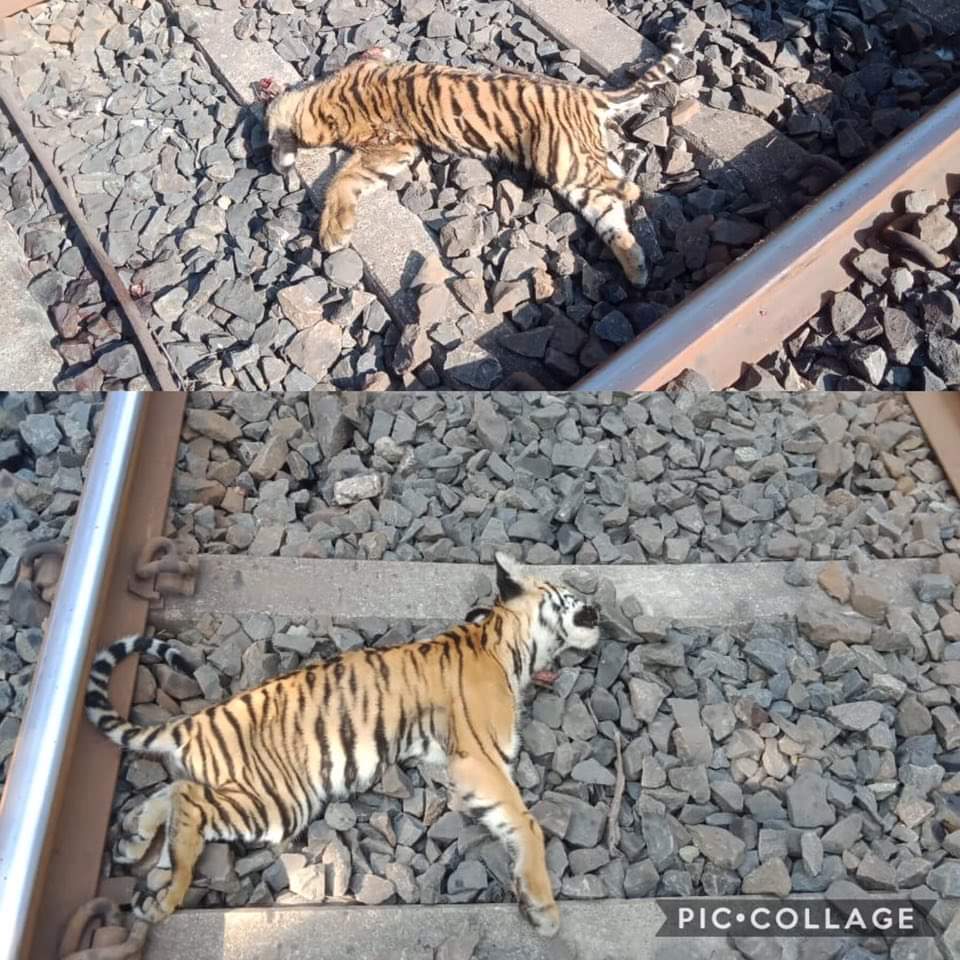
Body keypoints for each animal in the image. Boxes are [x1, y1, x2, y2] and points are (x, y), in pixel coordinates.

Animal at [85, 553, 601, 937]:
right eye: (572, 594)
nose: (599, 610)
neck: (502, 642)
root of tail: (193, 722)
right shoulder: (480, 760)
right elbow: (526, 823)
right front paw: (544, 909)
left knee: (172, 790)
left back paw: (133, 842)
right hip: (275, 804)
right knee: (189, 801)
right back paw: (165, 897)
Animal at [263, 38, 686, 286]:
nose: (272, 163)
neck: (331, 97)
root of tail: (587, 95)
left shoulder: (390, 145)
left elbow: (340, 177)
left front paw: (332, 232)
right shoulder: (391, 146)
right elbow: (350, 175)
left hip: (562, 161)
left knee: (626, 186)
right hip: (576, 171)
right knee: (612, 208)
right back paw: (637, 267)